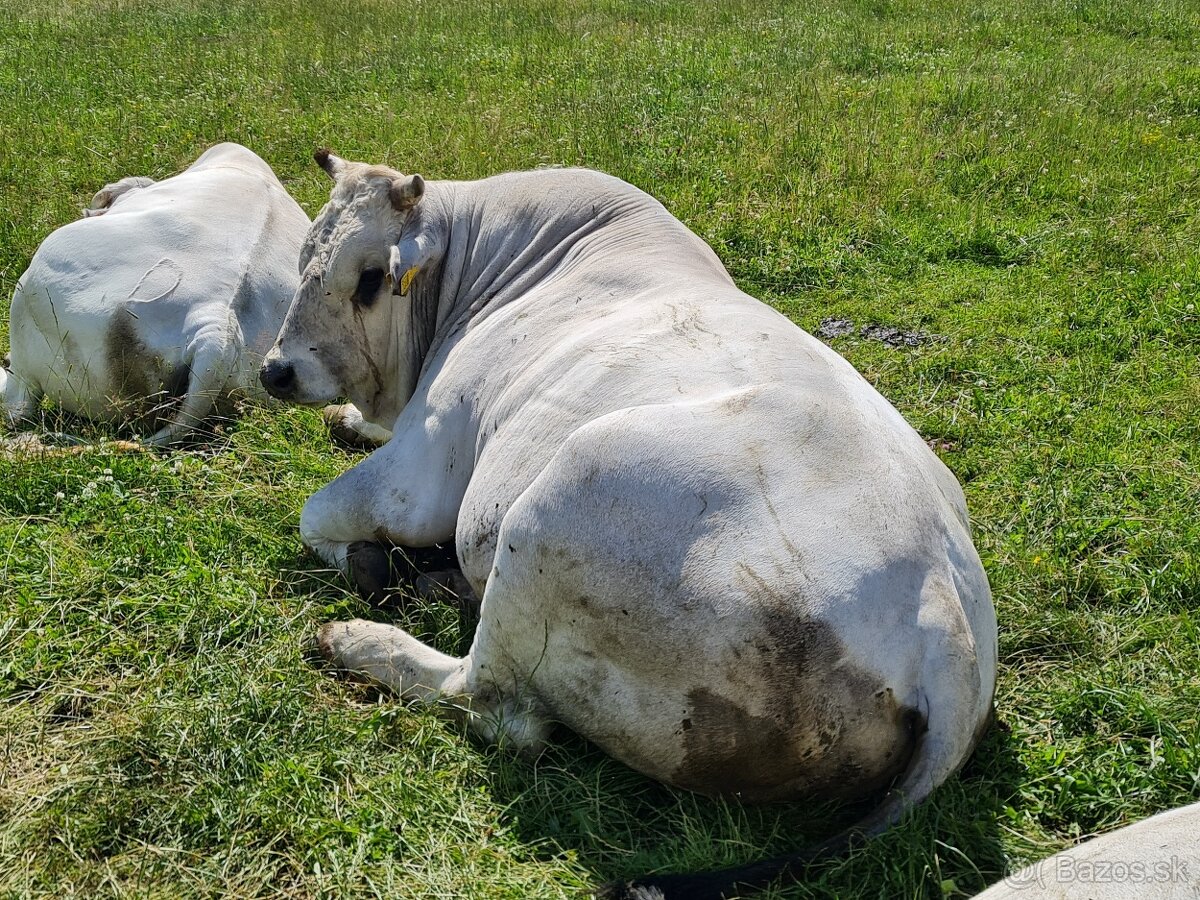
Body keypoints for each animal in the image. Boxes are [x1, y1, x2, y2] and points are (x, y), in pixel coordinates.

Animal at [265, 151, 1003, 897]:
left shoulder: (427, 464)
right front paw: (350, 424)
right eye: (302, 258)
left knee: (497, 708)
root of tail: (947, 619)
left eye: (370, 278)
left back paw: (362, 633)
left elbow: (317, 514)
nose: (276, 371)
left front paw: (369, 561)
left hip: (557, 506)